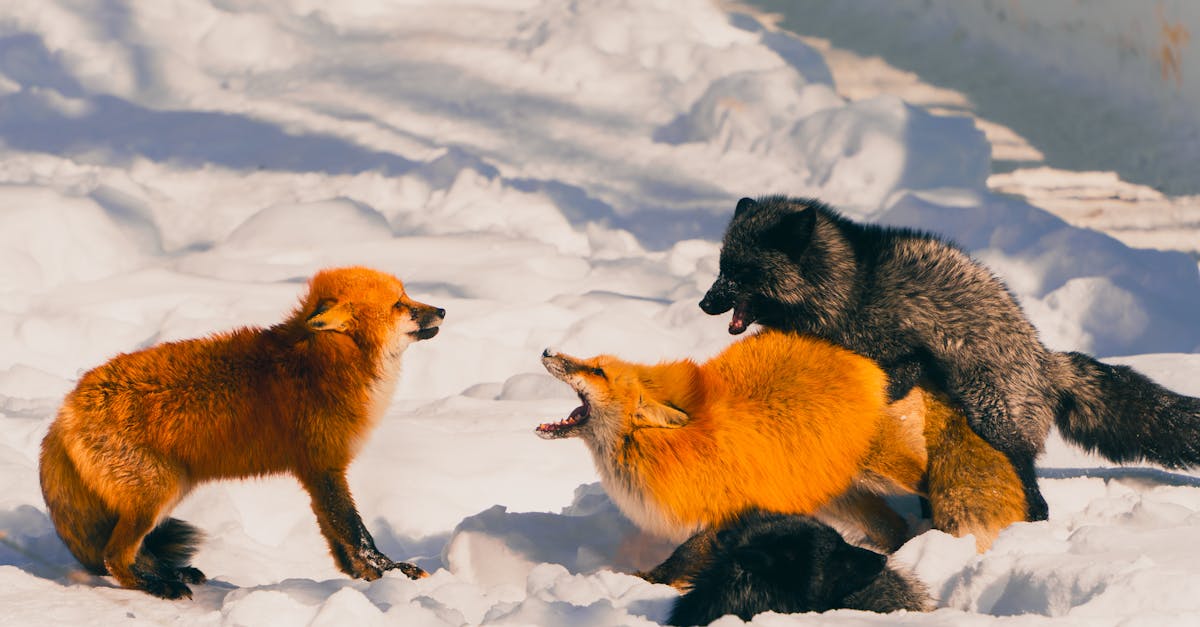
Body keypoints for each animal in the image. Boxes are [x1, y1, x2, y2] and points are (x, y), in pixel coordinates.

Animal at [39, 266, 444, 599]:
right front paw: (393, 574)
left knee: (130, 552)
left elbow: (338, 539)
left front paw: (365, 579)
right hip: (154, 495)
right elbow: (356, 531)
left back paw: (173, 573)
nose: (442, 310)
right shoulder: (324, 466)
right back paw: (158, 586)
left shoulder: (316, 472)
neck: (326, 361)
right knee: (114, 557)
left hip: (168, 491)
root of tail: (65, 411)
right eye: (400, 304)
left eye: (407, 296)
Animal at [537, 329, 1025, 587]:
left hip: (888, 470)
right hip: (835, 493)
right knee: (893, 529)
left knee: (927, 492)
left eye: (596, 371)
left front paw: (639, 584)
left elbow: (678, 561)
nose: (547, 350)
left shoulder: (729, 512)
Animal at [700, 196, 1200, 521]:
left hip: (992, 419)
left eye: (742, 273)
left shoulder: (907, 350)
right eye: (722, 268)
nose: (705, 303)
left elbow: (899, 372)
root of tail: (1044, 358)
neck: (848, 290)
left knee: (1031, 488)